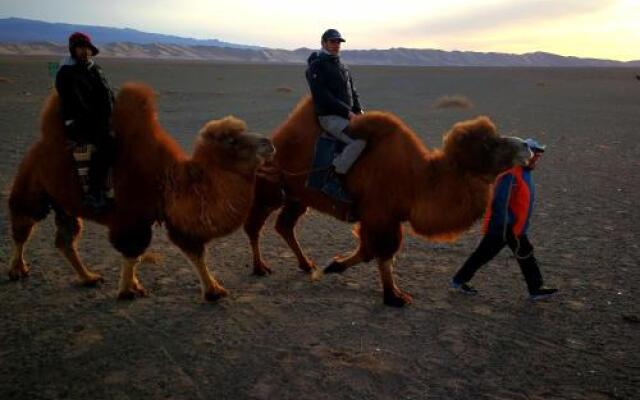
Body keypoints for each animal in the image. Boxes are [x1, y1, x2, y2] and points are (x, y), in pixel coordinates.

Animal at [7, 83, 274, 300]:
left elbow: (193, 251)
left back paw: (89, 277)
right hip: (33, 185)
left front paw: (214, 290)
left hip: (63, 203)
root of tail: (37, 145)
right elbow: (132, 251)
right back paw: (16, 270)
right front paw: (127, 290)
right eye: (232, 141)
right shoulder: (130, 218)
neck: (168, 182)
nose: (269, 142)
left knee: (65, 238)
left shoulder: (169, 219)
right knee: (23, 222)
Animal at [242, 96, 532, 306]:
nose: (527, 147)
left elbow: (368, 251)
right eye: (490, 144)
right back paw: (260, 267)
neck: (417, 180)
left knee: (285, 225)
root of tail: (277, 137)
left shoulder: (379, 217)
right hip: (272, 187)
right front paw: (395, 297)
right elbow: (383, 254)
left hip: (297, 196)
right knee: (255, 224)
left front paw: (334, 266)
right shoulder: (380, 215)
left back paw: (306, 264)